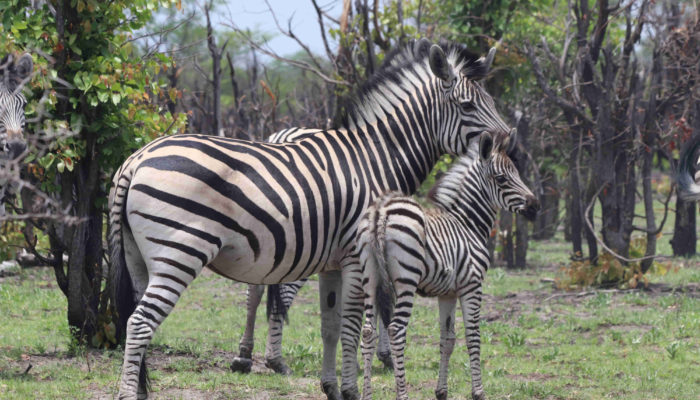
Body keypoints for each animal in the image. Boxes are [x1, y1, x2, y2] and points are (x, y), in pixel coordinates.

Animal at [110, 38, 516, 400]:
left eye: (491, 102)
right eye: (467, 105)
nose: (508, 143)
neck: (377, 158)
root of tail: (135, 159)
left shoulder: (333, 263)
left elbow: (331, 327)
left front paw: (332, 387)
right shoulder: (359, 256)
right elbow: (354, 327)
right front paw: (352, 389)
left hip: (139, 258)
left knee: (137, 316)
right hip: (180, 251)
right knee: (140, 322)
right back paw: (131, 393)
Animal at [358, 132, 540, 400]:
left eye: (516, 173)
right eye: (501, 178)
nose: (535, 206)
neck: (467, 222)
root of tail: (381, 211)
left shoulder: (447, 293)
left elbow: (447, 340)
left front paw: (441, 391)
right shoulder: (472, 286)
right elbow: (472, 337)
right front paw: (478, 392)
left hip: (370, 279)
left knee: (369, 332)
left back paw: (366, 394)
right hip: (406, 282)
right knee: (396, 331)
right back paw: (402, 394)